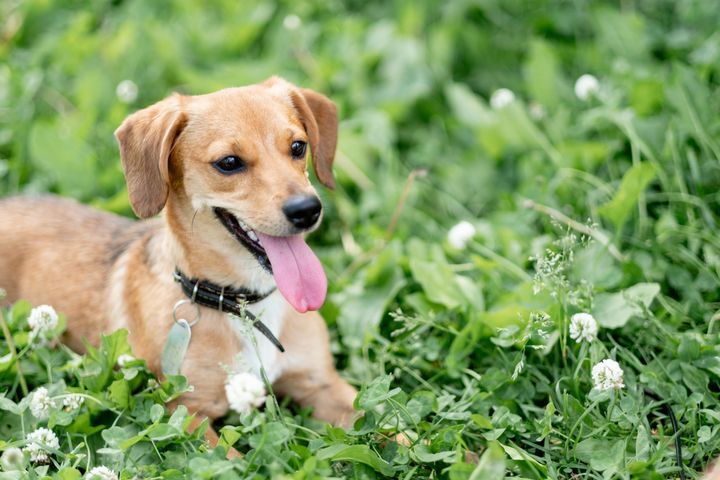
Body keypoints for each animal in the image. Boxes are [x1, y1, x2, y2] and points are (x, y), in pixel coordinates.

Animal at [0, 77, 358, 448]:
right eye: (229, 162)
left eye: (298, 146)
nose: (307, 210)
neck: (243, 305)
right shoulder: (188, 413)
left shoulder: (324, 384)